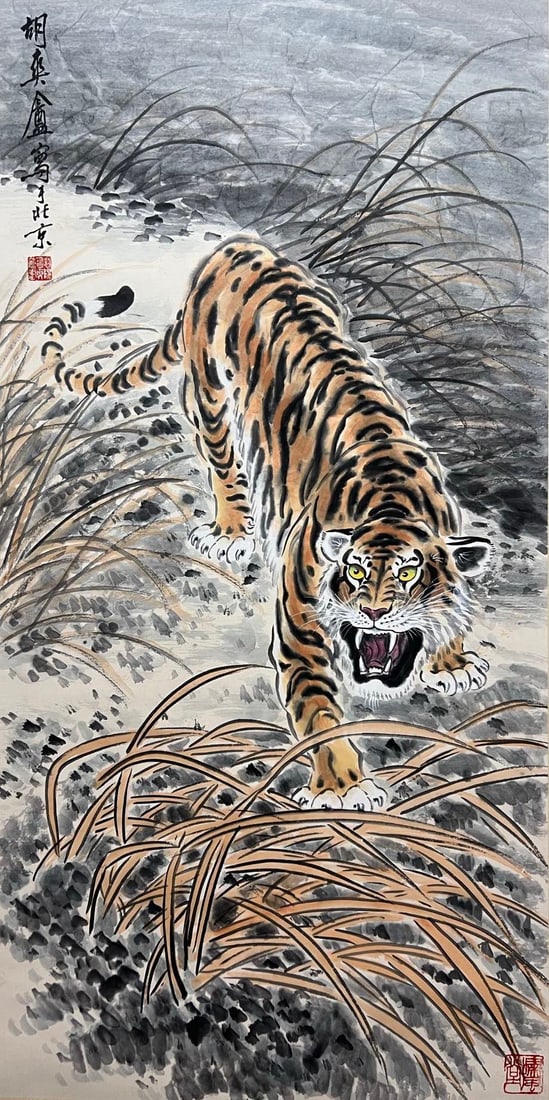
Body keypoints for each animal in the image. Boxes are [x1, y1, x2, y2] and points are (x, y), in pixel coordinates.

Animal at [41, 235, 491, 812]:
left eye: (410, 574)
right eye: (356, 573)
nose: (372, 613)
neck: (389, 503)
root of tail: (236, 245)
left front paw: (452, 665)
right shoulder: (302, 631)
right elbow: (320, 712)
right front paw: (343, 788)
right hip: (208, 397)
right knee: (223, 463)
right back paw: (232, 532)